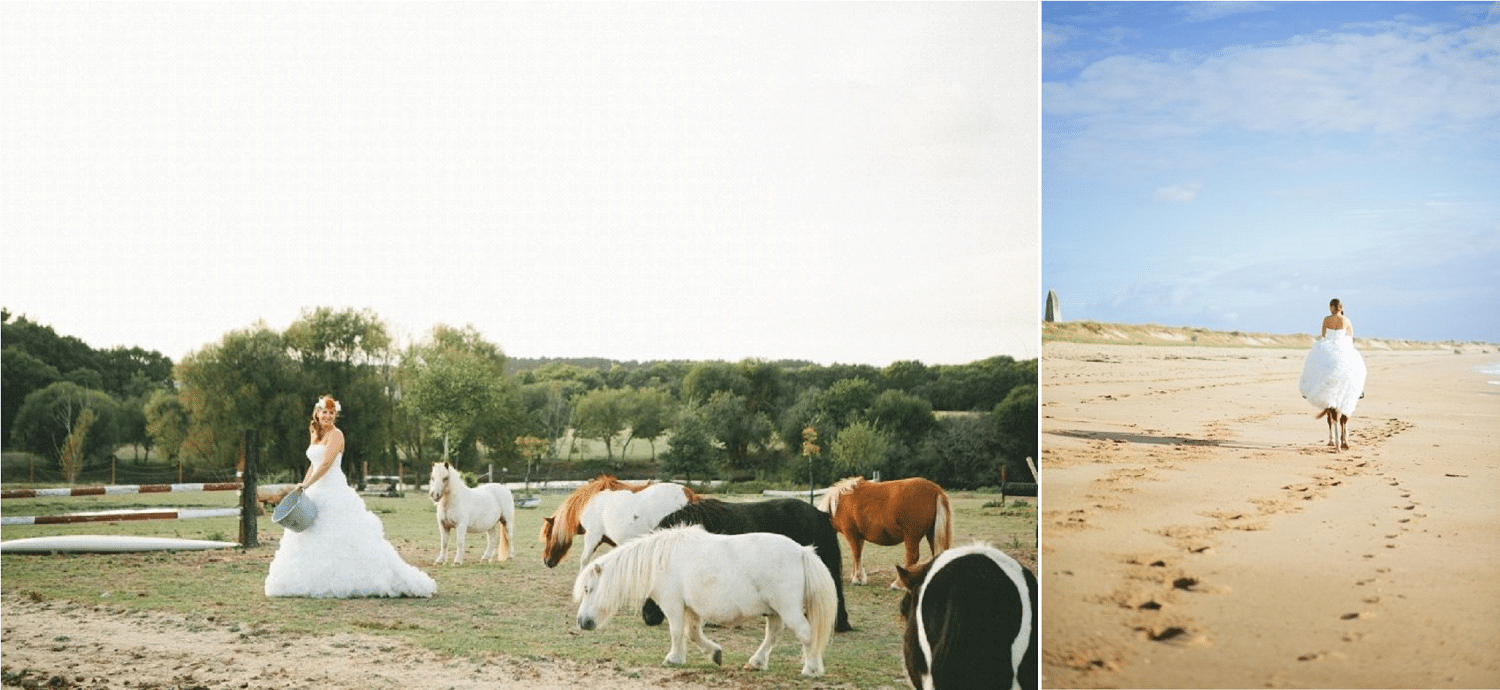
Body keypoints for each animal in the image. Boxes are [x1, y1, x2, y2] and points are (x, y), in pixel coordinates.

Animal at [540, 477, 702, 570]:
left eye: (548, 535)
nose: (546, 561)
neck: (589, 504)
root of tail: (689, 495)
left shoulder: (592, 537)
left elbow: (585, 561)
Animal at [570, 525, 840, 678]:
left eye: (588, 589)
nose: (582, 622)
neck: (660, 560)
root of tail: (802, 552)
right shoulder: (690, 609)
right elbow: (692, 633)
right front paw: (714, 654)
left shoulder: (673, 605)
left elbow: (677, 632)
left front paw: (673, 658)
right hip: (775, 611)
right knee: (772, 636)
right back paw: (756, 662)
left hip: (788, 609)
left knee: (807, 635)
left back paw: (811, 669)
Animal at [816, 480, 954, 588]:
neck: (839, 503)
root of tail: (936, 489)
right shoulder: (859, 537)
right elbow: (858, 555)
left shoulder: (852, 534)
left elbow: (856, 554)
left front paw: (857, 579)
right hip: (930, 534)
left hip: (912, 537)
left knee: (912, 557)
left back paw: (898, 583)